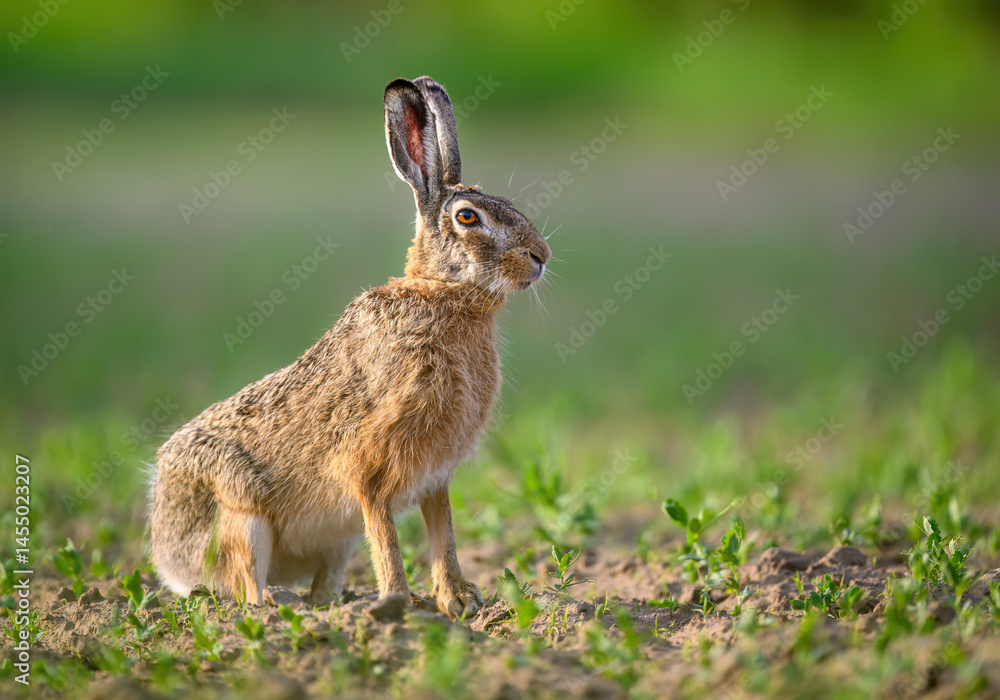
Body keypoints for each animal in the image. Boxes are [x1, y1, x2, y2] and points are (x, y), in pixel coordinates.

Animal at [149, 76, 551, 619]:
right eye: (468, 217)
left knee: (320, 583)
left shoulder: (434, 477)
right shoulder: (368, 467)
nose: (540, 256)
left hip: (336, 545)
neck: (441, 294)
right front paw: (397, 602)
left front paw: (458, 601)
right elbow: (386, 537)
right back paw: (281, 606)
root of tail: (168, 558)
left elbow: (443, 536)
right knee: (247, 586)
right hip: (240, 514)